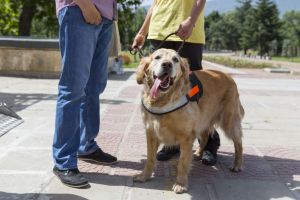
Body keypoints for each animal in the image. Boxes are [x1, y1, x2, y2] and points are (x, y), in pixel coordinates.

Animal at [135, 47, 245, 193]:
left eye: (175, 59)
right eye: (157, 57)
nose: (167, 65)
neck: (163, 99)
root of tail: (229, 76)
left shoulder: (187, 136)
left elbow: (182, 162)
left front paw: (180, 184)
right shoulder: (151, 133)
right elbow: (150, 159)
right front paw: (144, 176)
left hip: (228, 120)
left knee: (238, 143)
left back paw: (237, 164)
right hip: (203, 120)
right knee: (205, 137)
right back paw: (198, 153)